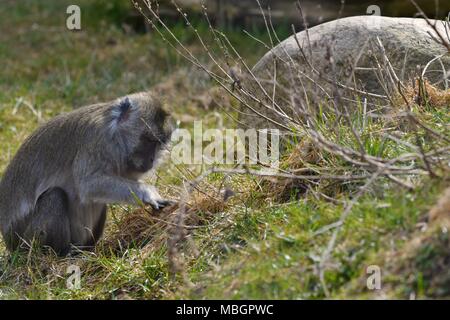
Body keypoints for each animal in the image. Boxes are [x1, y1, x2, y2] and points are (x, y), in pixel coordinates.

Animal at [0, 91, 174, 256]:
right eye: (149, 140)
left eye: (158, 144)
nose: (151, 159)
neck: (112, 128)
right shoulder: (96, 141)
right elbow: (88, 185)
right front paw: (148, 193)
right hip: (24, 241)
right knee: (55, 196)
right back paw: (61, 252)